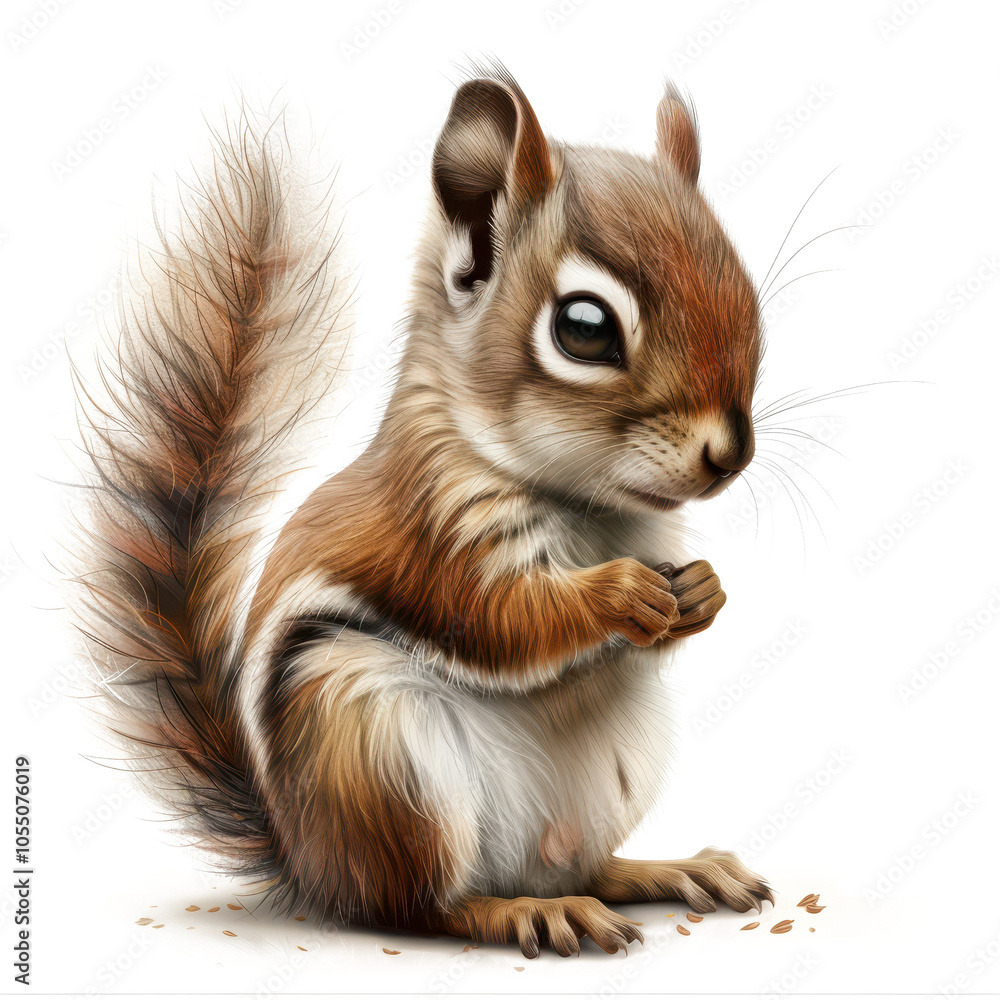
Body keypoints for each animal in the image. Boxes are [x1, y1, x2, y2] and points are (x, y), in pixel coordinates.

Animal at [69, 66, 772, 958]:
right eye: (584, 328)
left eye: (745, 288)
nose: (732, 452)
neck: (588, 505)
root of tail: (309, 863)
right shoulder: (431, 529)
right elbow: (498, 619)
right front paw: (620, 594)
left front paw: (704, 590)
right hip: (375, 751)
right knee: (421, 906)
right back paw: (523, 912)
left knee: (581, 866)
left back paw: (666, 870)